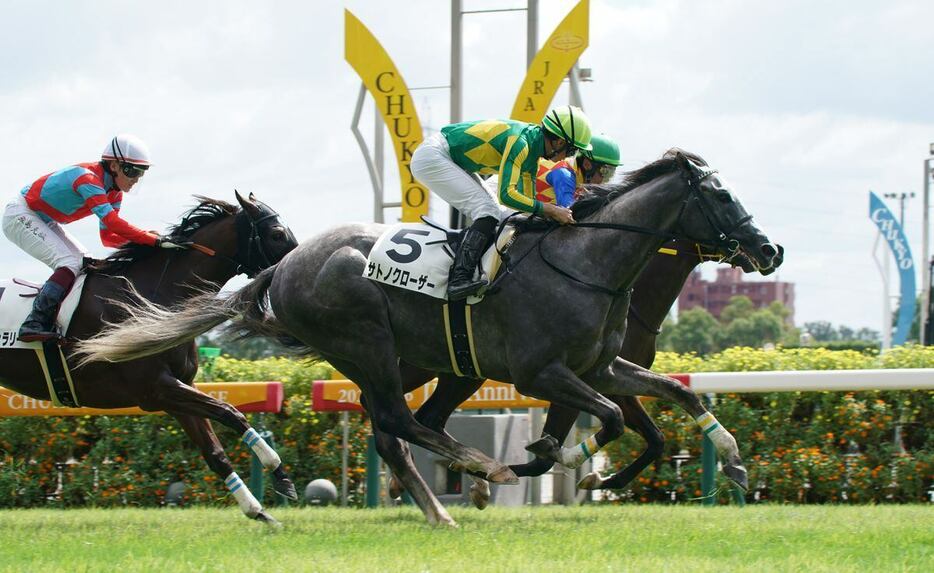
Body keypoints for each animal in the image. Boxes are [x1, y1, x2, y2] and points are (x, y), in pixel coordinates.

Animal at [0, 191, 296, 524]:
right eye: (276, 234)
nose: (296, 266)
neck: (154, 297)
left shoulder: (178, 389)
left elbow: (215, 451)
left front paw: (260, 508)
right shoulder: (155, 390)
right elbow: (230, 411)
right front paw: (277, 470)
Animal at [78, 150, 784, 524]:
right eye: (722, 197)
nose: (769, 250)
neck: (587, 264)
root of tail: (286, 264)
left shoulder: (601, 366)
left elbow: (675, 399)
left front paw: (735, 460)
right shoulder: (543, 374)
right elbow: (608, 420)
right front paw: (559, 463)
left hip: (404, 360)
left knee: (393, 427)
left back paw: (441, 502)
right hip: (367, 341)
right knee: (396, 419)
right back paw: (478, 469)